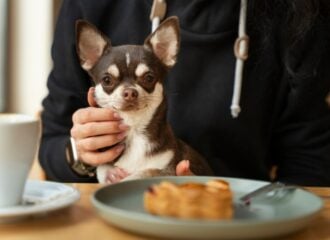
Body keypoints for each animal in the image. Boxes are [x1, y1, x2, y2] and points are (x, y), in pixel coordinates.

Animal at [75, 16, 213, 183]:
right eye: (107, 80)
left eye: (149, 78)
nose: (130, 92)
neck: (134, 129)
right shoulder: (106, 165)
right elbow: (103, 169)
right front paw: (111, 175)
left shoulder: (168, 170)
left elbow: (144, 173)